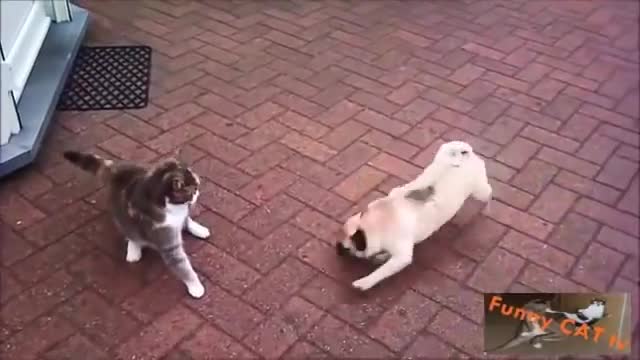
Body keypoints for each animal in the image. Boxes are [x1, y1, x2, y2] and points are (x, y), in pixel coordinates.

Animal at [62, 150, 209, 298]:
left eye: (197, 186)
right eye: (193, 190)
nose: (198, 193)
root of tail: (116, 172)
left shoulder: (181, 214)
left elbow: (186, 219)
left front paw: (196, 228)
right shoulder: (167, 243)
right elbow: (182, 266)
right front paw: (196, 286)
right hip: (122, 220)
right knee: (131, 234)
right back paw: (134, 249)